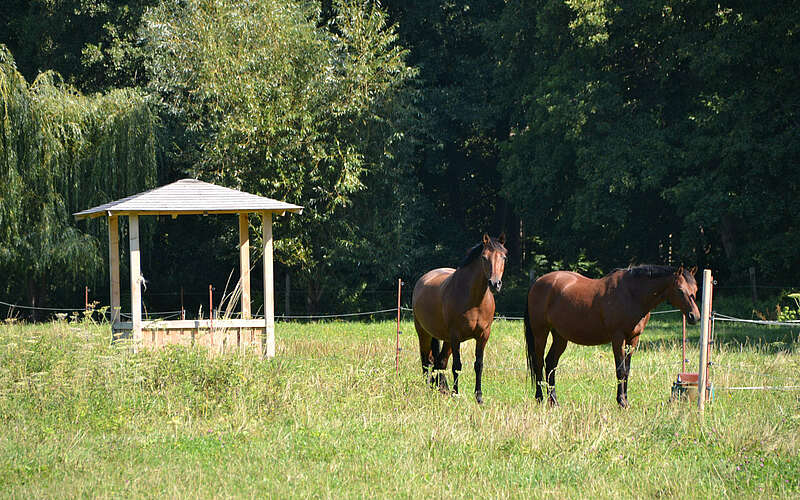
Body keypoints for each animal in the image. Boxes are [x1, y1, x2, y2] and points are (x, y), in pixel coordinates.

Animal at [412, 233, 506, 402]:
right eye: (484, 257)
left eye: (504, 257)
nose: (495, 283)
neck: (474, 301)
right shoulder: (456, 336)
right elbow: (457, 365)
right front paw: (456, 393)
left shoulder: (483, 336)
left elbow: (478, 365)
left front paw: (479, 397)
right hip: (424, 333)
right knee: (426, 361)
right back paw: (429, 388)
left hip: (446, 340)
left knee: (440, 361)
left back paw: (442, 389)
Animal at [520, 266, 696, 406]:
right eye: (680, 290)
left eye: (695, 290)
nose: (695, 316)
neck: (632, 295)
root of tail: (537, 282)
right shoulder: (618, 338)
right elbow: (620, 370)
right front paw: (622, 402)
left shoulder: (633, 339)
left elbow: (627, 370)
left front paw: (625, 400)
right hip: (540, 332)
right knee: (539, 363)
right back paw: (540, 398)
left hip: (560, 336)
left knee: (551, 363)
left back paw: (554, 401)